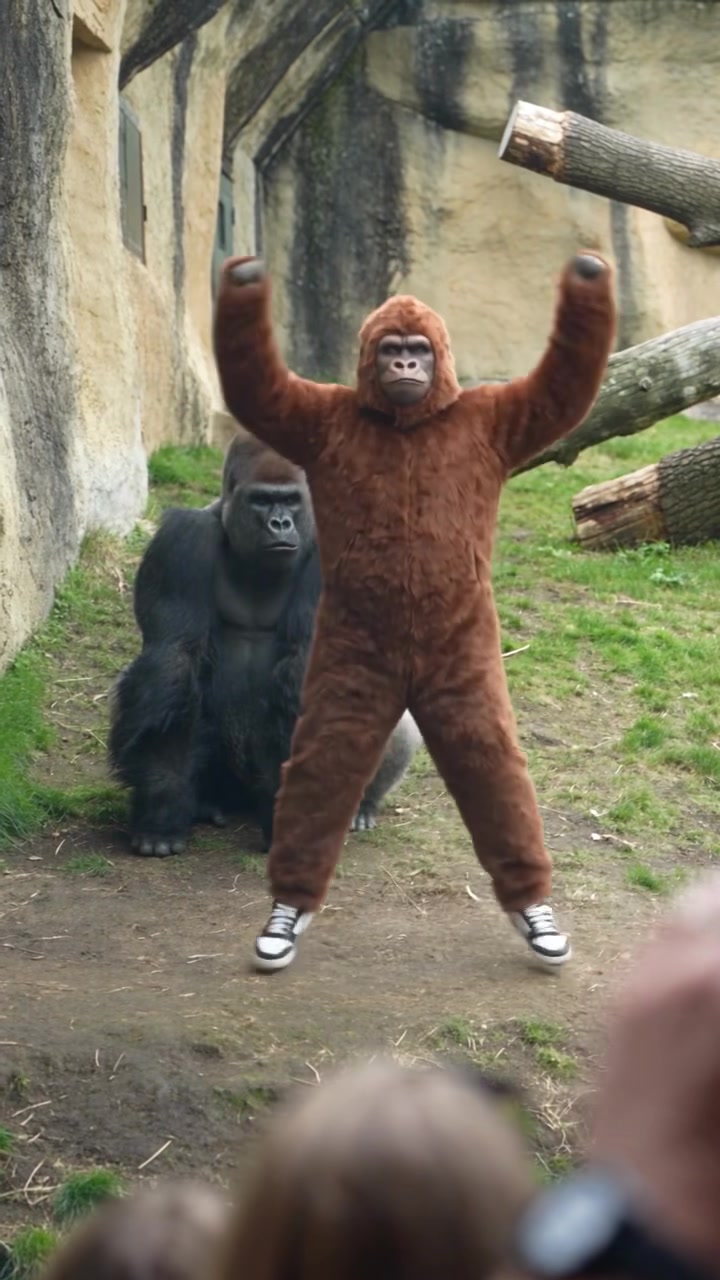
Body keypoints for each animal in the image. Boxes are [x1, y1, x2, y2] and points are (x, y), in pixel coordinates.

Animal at [109, 435, 421, 856]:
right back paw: (207, 802)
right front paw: (161, 805)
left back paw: (360, 807)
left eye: (290, 500)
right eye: (261, 500)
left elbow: (308, 669)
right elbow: (175, 659)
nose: (280, 524)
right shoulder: (182, 540)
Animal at [212, 251, 615, 973]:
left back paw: (534, 912)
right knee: (325, 755)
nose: (403, 364)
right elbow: (261, 392)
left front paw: (588, 280)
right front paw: (244, 283)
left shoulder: (496, 419)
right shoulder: (315, 420)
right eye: (392, 349)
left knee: (487, 754)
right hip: (349, 655)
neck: (408, 421)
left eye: (419, 350)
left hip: (460, 651)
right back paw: (286, 912)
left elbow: (560, 392)